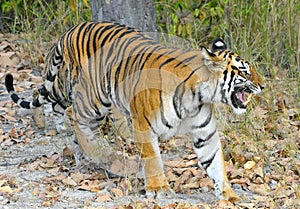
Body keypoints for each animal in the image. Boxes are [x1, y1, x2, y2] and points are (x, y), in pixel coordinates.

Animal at [4, 20, 262, 201]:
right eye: (245, 71)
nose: (262, 85)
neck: (198, 95)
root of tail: (72, 29)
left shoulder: (204, 133)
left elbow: (215, 163)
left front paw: (228, 195)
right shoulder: (143, 124)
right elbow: (153, 159)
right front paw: (159, 190)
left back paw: (87, 156)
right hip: (92, 96)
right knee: (64, 109)